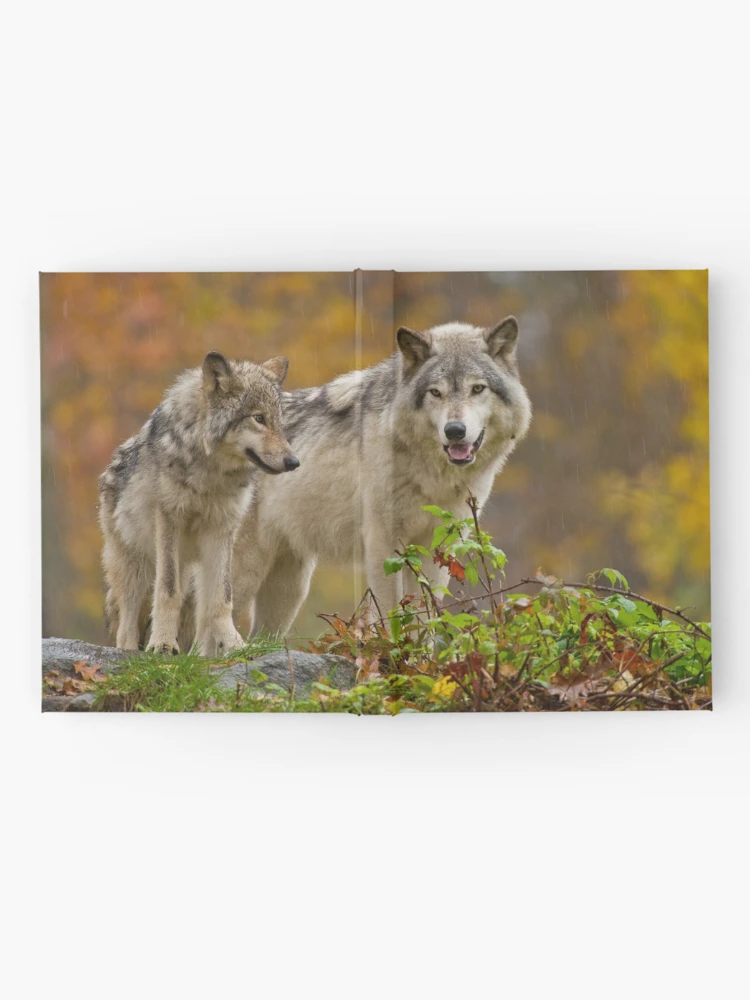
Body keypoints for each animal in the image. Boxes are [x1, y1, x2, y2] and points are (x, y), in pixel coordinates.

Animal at [98, 352, 299, 656]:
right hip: (136, 566)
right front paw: (162, 644)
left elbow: (222, 598)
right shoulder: (169, 519)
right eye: (258, 418)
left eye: (278, 422)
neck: (211, 475)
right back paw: (132, 651)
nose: (293, 462)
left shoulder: (222, 528)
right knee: (126, 627)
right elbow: (168, 592)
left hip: (187, 568)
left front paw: (234, 644)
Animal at [232, 318, 531, 636]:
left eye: (477, 388)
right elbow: (391, 611)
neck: (433, 476)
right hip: (245, 574)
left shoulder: (438, 546)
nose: (454, 431)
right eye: (435, 392)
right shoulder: (383, 543)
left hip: (289, 589)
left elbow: (426, 615)